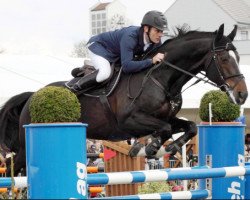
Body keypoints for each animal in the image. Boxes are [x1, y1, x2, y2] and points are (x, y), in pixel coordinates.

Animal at [0, 24, 247, 175]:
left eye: (237, 57)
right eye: (224, 59)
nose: (242, 94)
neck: (161, 78)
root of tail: (32, 96)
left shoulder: (168, 117)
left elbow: (190, 126)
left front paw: (168, 147)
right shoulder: (130, 121)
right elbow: (164, 129)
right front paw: (151, 148)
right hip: (26, 141)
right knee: (13, 166)